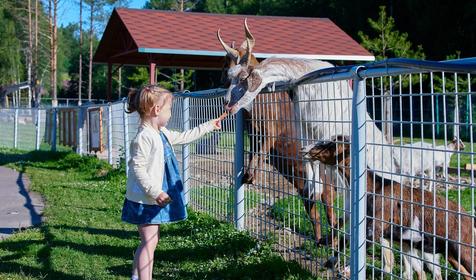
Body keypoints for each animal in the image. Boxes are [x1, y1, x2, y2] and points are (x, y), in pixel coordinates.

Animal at [217, 20, 338, 246]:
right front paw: (247, 176)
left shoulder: (270, 131)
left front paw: (250, 176)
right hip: (303, 186)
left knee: (330, 209)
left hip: (324, 183)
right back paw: (319, 241)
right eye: (226, 68)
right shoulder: (252, 134)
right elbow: (252, 153)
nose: (226, 100)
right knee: (314, 212)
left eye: (243, 74)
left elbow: (262, 151)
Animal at [306, 135, 474, 278]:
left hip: (463, 248)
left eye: (331, 143)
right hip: (450, 254)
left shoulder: (376, 226)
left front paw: (346, 269)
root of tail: (469, 219)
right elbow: (343, 238)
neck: (375, 186)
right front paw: (330, 258)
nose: (306, 149)